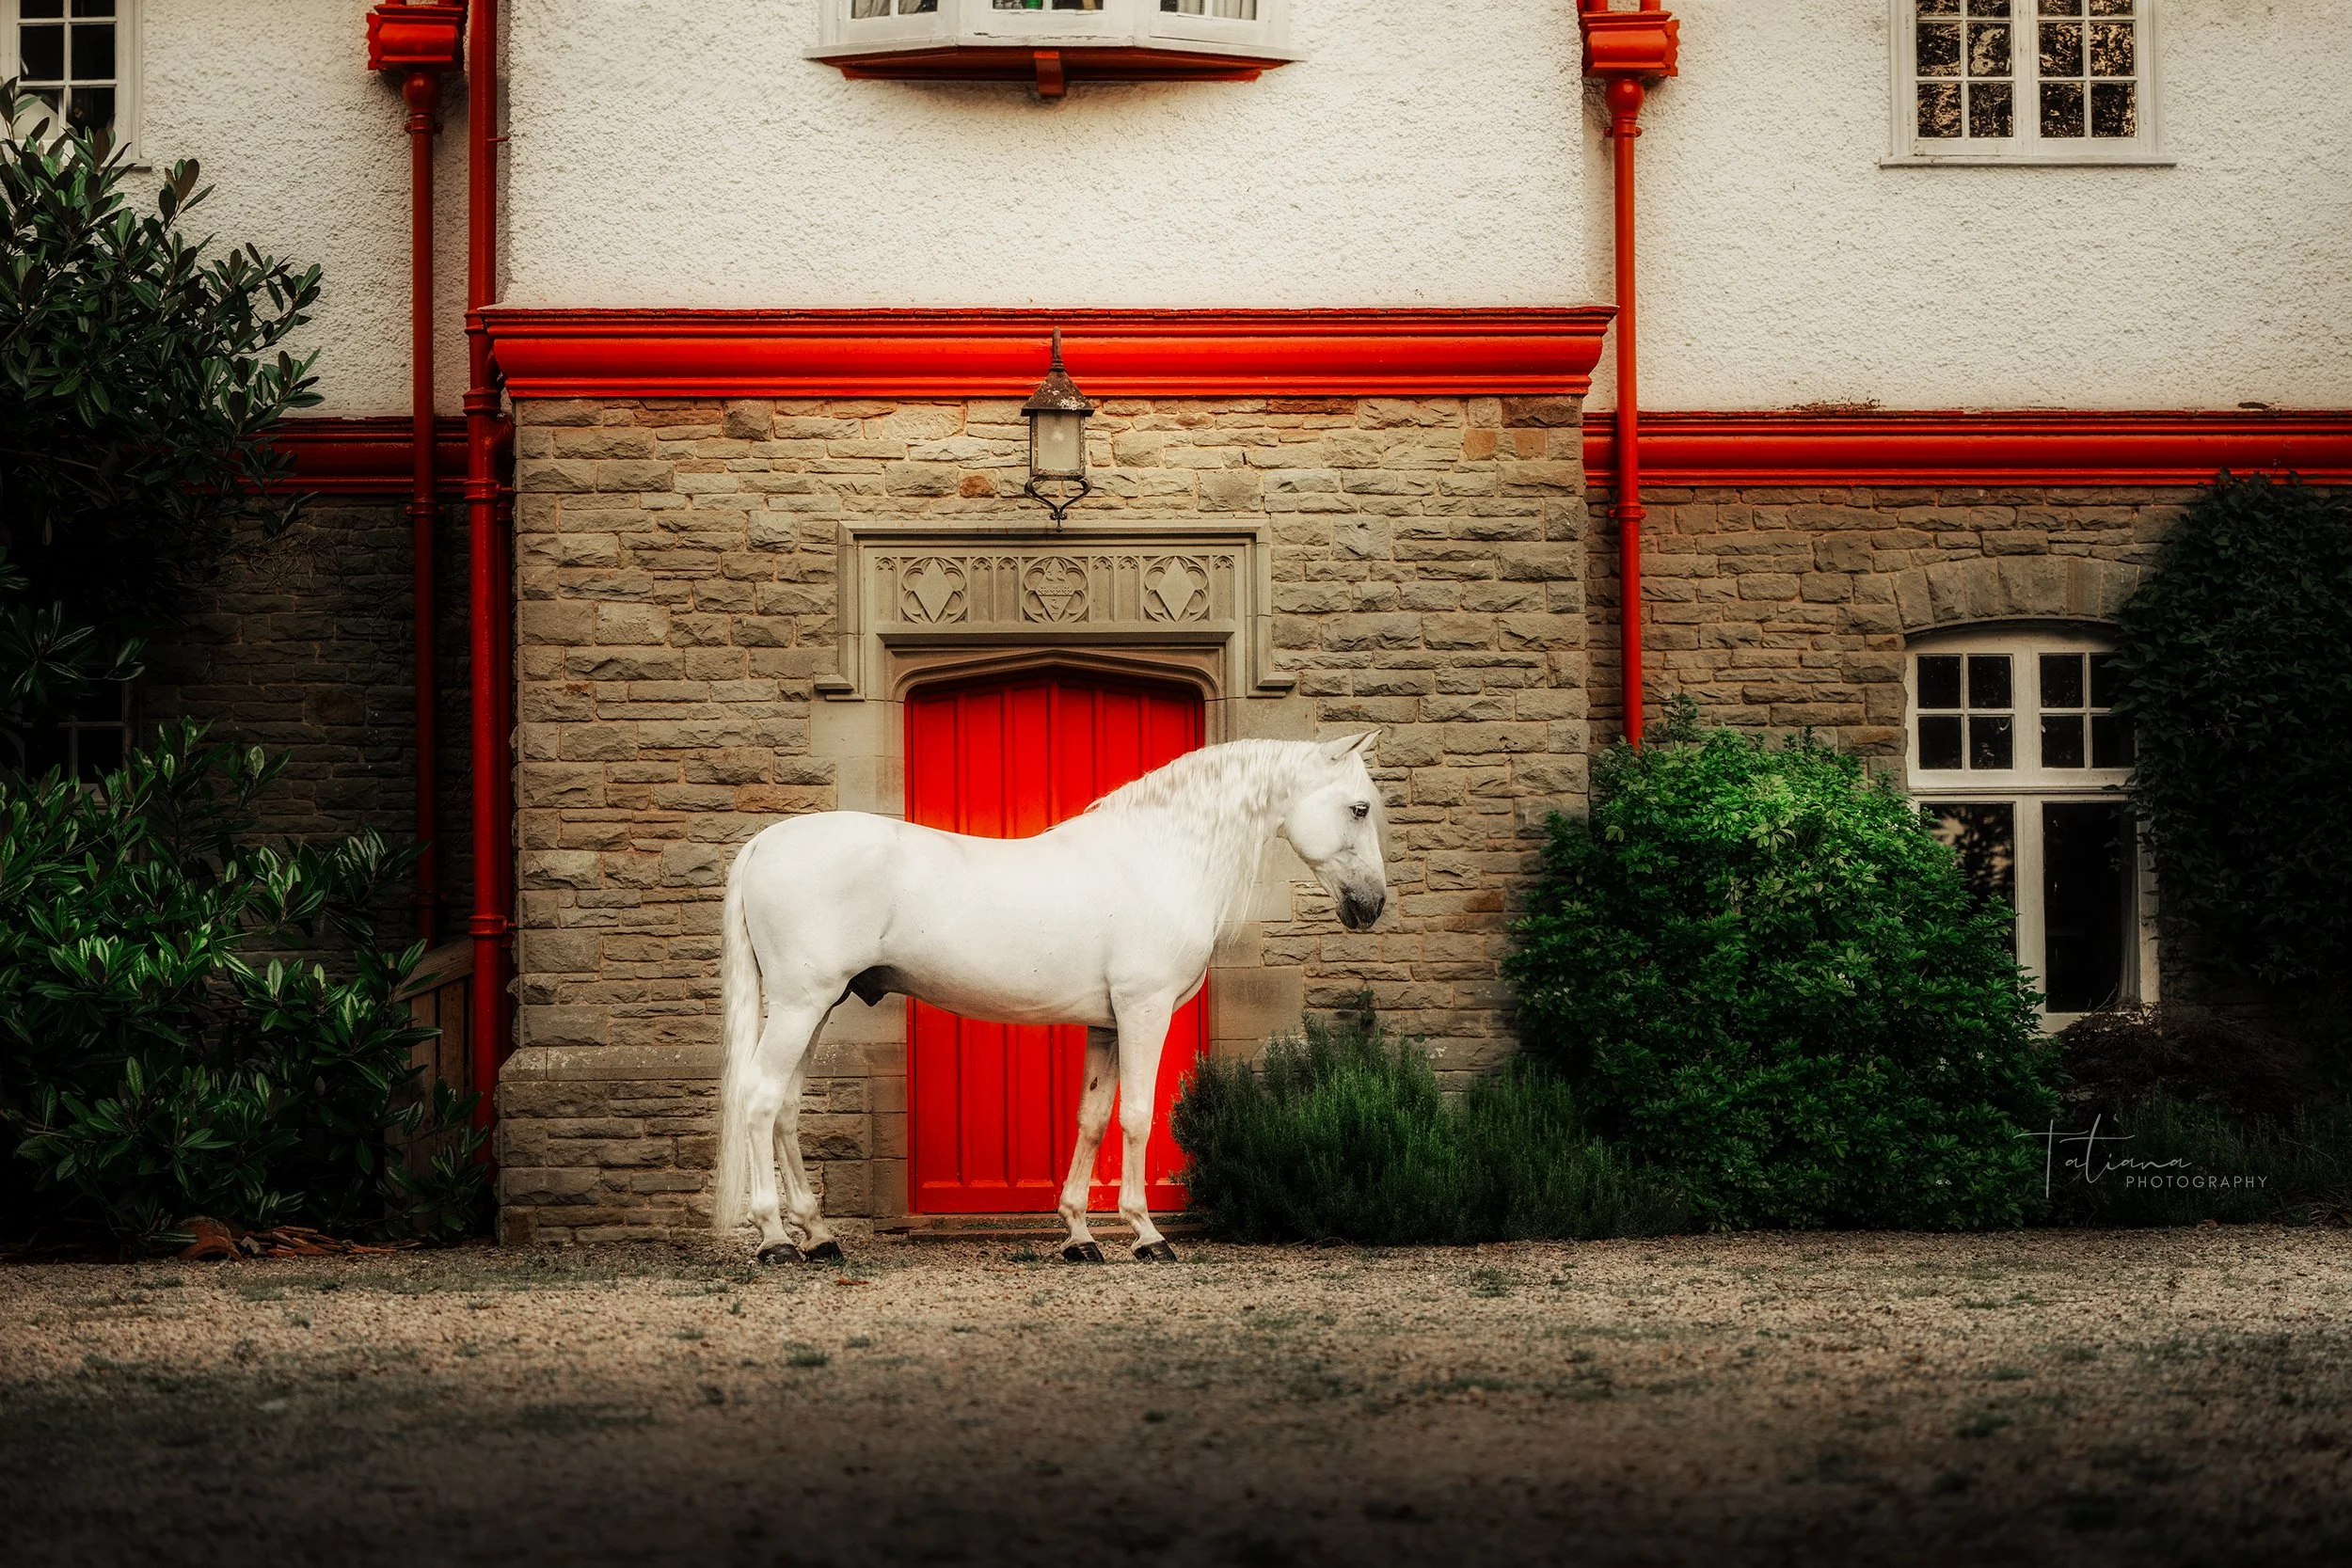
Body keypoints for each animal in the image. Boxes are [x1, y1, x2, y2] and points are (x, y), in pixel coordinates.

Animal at [712, 731, 1389, 1266]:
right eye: (1359, 808)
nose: (1372, 905)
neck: (1160, 856)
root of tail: (765, 844)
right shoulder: (1143, 1011)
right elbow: (1137, 1116)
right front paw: (1148, 1235)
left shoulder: (1108, 1025)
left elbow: (1092, 1120)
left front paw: (1079, 1236)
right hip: (801, 1004)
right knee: (760, 1097)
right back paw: (775, 1239)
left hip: (815, 1007)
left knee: (787, 1107)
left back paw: (819, 1236)